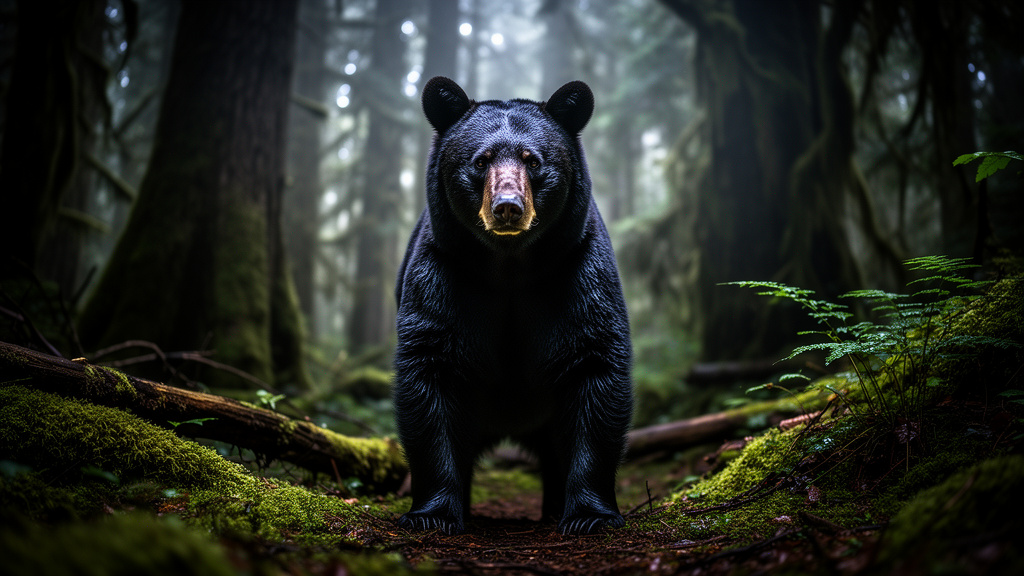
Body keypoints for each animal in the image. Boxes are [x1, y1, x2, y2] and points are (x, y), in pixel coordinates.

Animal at [393, 76, 633, 535]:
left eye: (533, 160)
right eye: (481, 160)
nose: (508, 207)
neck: (510, 268)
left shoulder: (576, 273)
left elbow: (596, 371)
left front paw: (590, 515)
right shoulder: (444, 275)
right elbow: (429, 377)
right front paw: (432, 514)